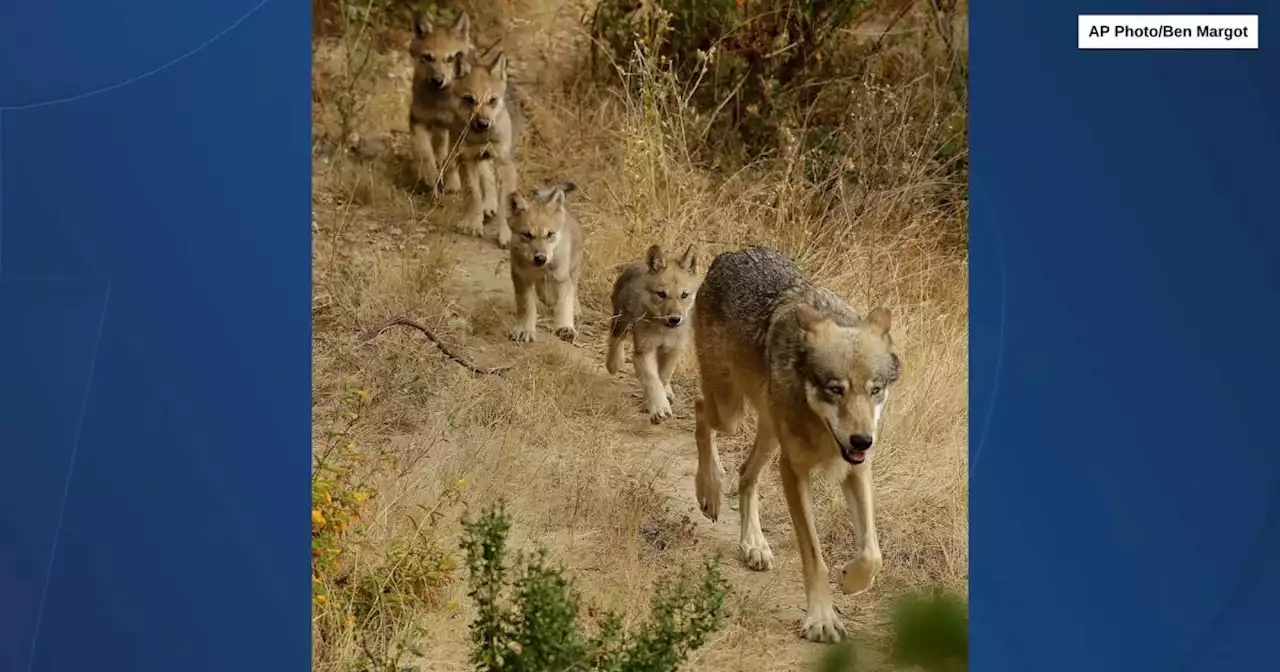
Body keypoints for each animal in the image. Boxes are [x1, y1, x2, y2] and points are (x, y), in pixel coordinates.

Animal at [404, 11, 476, 193]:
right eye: (428, 57)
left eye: (450, 59)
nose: (438, 80)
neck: (440, 101)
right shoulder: (418, 119)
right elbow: (423, 151)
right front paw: (429, 176)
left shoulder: (457, 130)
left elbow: (451, 160)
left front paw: (452, 184)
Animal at [448, 49, 522, 247]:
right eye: (469, 99)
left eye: (493, 100)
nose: (483, 123)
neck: (481, 137)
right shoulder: (466, 158)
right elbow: (473, 193)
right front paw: (473, 223)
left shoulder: (504, 164)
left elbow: (505, 204)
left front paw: (506, 235)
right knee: (485, 179)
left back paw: (489, 207)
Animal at [504, 181, 581, 343]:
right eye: (527, 235)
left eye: (550, 234)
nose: (540, 257)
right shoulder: (521, 278)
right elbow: (527, 305)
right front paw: (525, 330)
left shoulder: (561, 278)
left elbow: (564, 304)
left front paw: (565, 328)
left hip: (573, 269)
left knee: (573, 290)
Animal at [606, 243, 701, 424]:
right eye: (661, 294)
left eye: (684, 295)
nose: (674, 319)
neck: (664, 331)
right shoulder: (644, 351)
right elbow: (652, 380)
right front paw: (659, 408)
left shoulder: (673, 350)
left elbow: (662, 377)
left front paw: (653, 402)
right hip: (621, 320)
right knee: (615, 339)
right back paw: (614, 363)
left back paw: (668, 393)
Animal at [691, 244, 901, 640]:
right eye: (835, 389)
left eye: (875, 390)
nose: (863, 440)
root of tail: (731, 253)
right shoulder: (794, 472)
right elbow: (814, 555)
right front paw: (822, 619)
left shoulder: (856, 470)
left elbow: (873, 554)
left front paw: (851, 580)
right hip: (731, 414)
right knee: (699, 411)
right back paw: (709, 490)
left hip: (769, 433)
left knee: (746, 473)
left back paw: (754, 545)